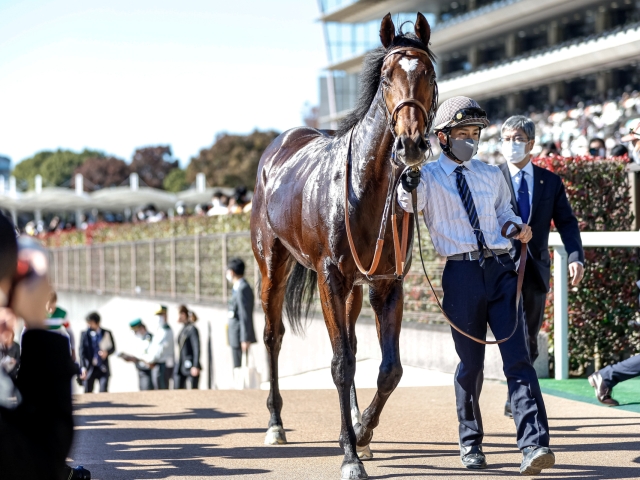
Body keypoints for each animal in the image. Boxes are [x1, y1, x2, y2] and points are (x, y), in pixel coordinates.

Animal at [249, 13, 436, 478]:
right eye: (387, 77)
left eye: (428, 73)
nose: (410, 143)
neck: (364, 189)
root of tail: (281, 144)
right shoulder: (329, 277)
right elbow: (339, 363)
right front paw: (350, 454)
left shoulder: (386, 283)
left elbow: (388, 369)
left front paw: (363, 433)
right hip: (272, 264)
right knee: (273, 335)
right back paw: (275, 423)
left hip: (353, 286)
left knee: (350, 340)